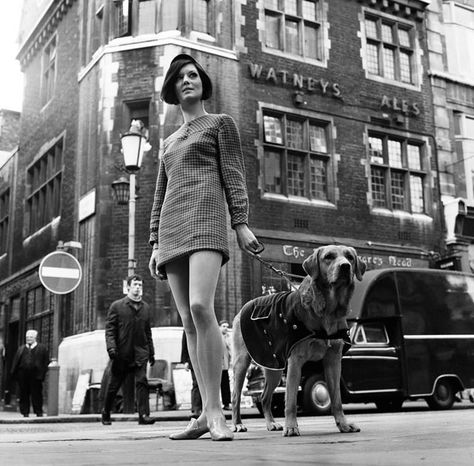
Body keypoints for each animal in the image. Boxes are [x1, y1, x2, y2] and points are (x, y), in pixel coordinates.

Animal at [231, 246, 364, 436]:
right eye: (328, 257)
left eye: (350, 257)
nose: (345, 267)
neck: (328, 310)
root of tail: (245, 305)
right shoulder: (295, 361)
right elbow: (291, 400)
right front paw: (291, 427)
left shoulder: (333, 361)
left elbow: (337, 399)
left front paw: (343, 424)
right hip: (242, 362)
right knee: (235, 397)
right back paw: (237, 424)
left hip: (274, 365)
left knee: (264, 397)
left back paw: (271, 423)